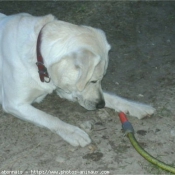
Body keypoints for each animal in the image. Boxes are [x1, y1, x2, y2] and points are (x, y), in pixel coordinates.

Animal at [0, 13, 154, 146]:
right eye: (93, 81)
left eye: (100, 79)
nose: (101, 105)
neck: (38, 56)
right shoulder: (14, 104)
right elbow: (48, 117)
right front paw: (72, 132)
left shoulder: (65, 89)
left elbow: (113, 97)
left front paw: (136, 106)